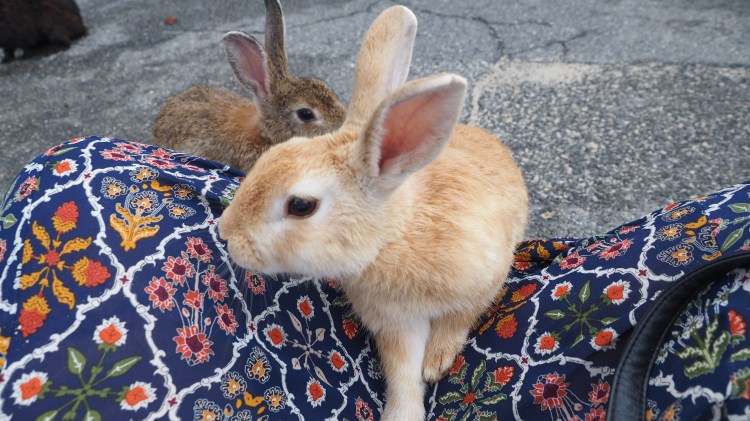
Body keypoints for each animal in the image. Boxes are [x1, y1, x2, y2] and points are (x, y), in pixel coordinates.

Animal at [219, 5, 528, 421]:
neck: (392, 236)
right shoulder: (394, 324)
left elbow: (456, 322)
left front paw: (436, 363)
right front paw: (402, 412)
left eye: (301, 205)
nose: (226, 232)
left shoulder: (483, 282)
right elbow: (401, 372)